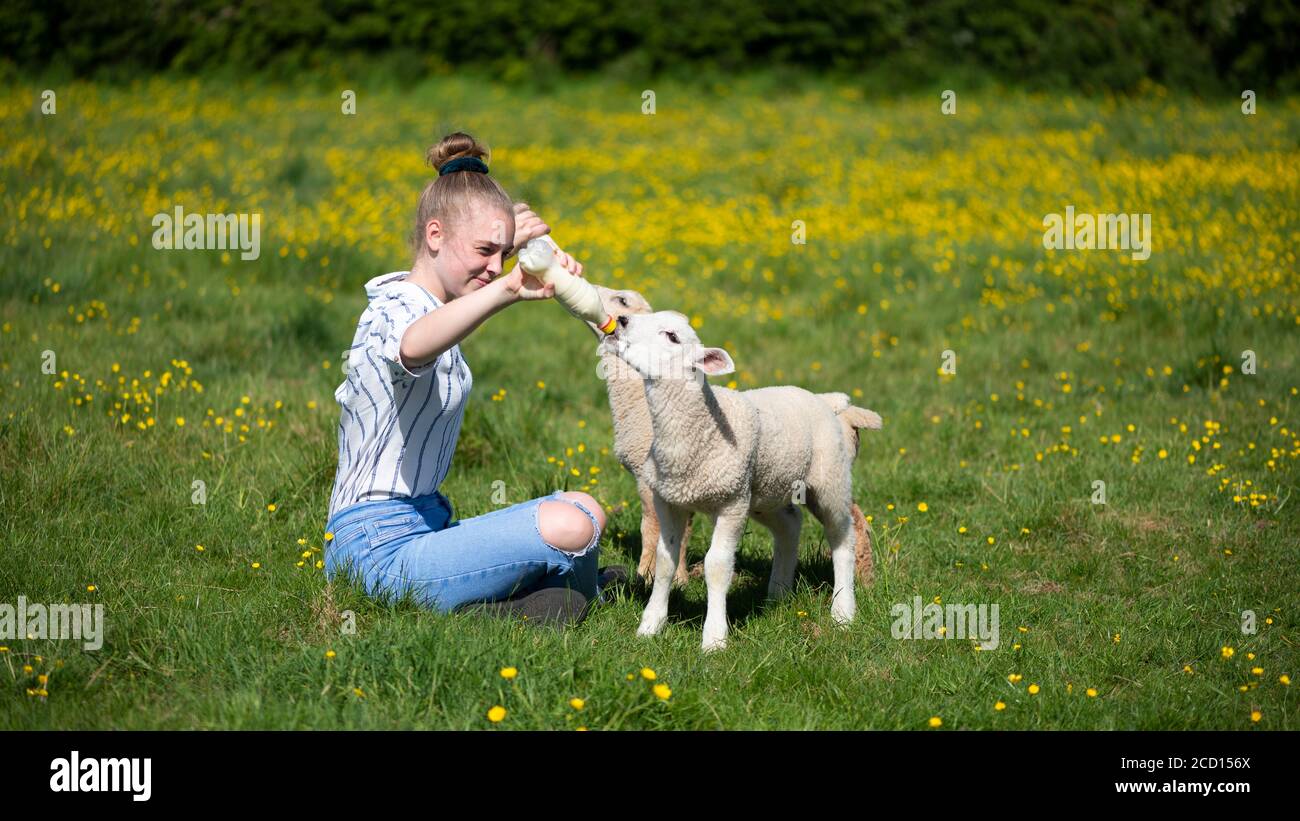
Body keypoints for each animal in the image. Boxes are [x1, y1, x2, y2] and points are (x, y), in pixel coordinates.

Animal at [600, 310, 883, 652]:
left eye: (672, 336)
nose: (621, 320)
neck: (698, 429)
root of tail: (825, 399)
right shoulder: (669, 501)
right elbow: (665, 561)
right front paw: (650, 626)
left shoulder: (732, 504)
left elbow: (717, 567)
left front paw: (714, 638)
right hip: (766, 491)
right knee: (790, 525)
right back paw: (778, 594)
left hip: (829, 479)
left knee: (843, 537)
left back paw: (843, 611)